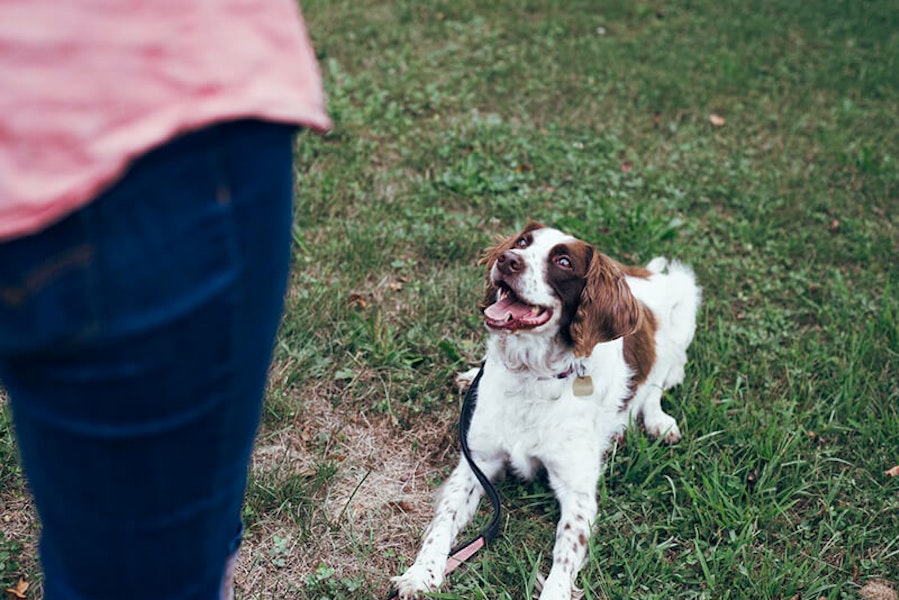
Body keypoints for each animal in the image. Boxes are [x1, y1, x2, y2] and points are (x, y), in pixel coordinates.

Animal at [394, 221, 704, 600]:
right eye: (522, 242)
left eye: (564, 262)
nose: (507, 259)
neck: (531, 374)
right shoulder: (477, 462)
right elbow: (443, 521)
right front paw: (420, 574)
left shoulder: (578, 491)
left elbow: (565, 551)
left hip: (684, 303)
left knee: (660, 379)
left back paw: (659, 421)